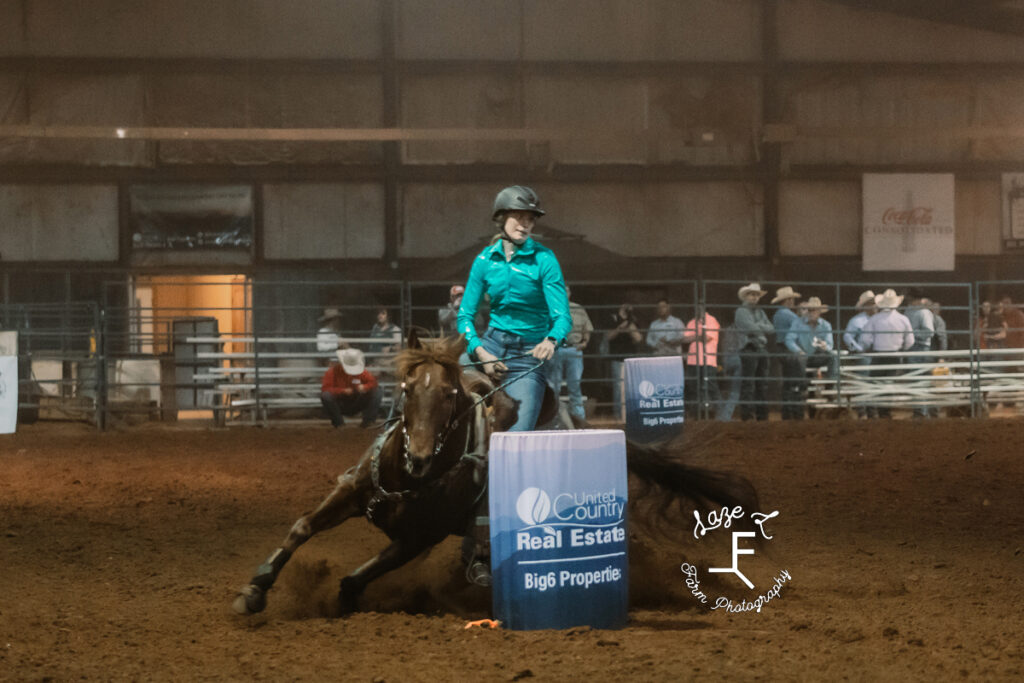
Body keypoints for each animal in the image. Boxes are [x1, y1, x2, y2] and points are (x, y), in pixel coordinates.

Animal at [234, 333, 761, 618]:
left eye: (449, 395)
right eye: (405, 388)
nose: (418, 456)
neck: (411, 478)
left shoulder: (418, 538)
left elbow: (362, 572)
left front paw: (342, 597)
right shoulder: (352, 491)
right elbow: (302, 528)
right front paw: (253, 591)